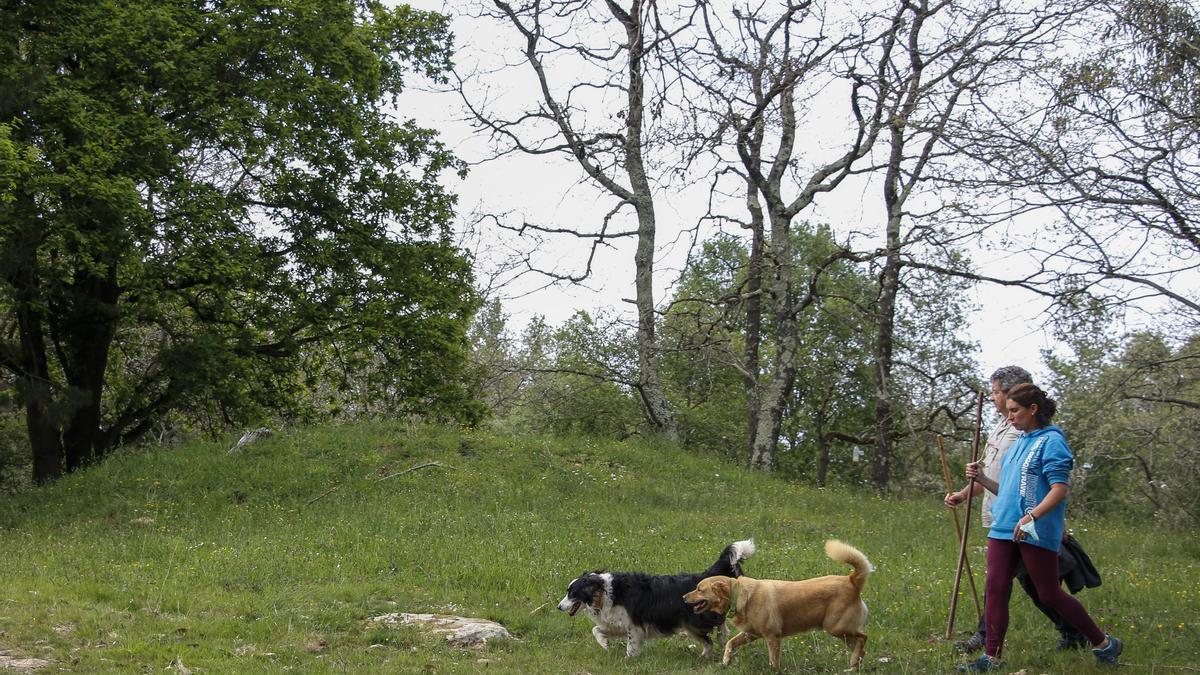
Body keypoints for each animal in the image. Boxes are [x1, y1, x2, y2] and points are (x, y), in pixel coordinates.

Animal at [556, 538, 753, 653]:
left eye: (572, 593)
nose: (558, 607)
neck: (605, 591)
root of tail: (702, 577)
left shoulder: (633, 625)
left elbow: (631, 645)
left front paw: (629, 659)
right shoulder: (616, 623)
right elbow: (596, 630)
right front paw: (604, 643)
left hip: (695, 620)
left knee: (719, 624)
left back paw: (721, 638)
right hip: (690, 625)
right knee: (709, 639)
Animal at [686, 535, 873, 667]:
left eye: (699, 589)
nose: (683, 597)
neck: (739, 595)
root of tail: (852, 580)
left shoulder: (772, 637)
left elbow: (773, 662)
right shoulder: (750, 634)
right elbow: (730, 644)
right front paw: (725, 662)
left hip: (836, 627)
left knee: (863, 637)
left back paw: (853, 662)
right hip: (841, 632)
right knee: (861, 649)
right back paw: (853, 666)